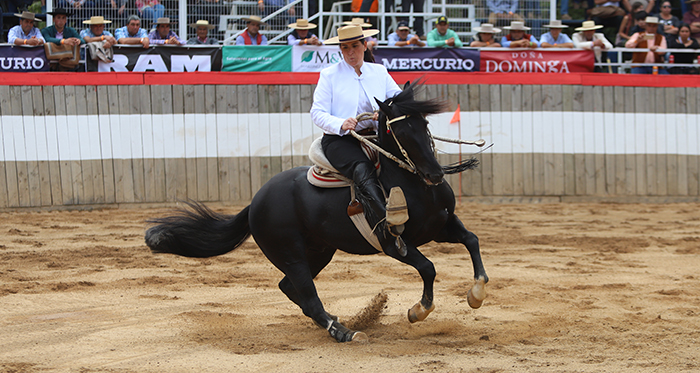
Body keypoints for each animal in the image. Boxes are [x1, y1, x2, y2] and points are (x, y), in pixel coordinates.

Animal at [145, 80, 490, 340]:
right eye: (399, 132)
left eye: (425, 123)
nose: (434, 174)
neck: (411, 185)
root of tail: (256, 201)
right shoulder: (396, 245)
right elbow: (428, 268)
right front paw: (418, 310)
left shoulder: (442, 226)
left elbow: (471, 239)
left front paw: (476, 293)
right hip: (291, 254)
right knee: (308, 296)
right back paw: (343, 332)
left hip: (320, 251)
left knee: (289, 287)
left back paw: (336, 322)